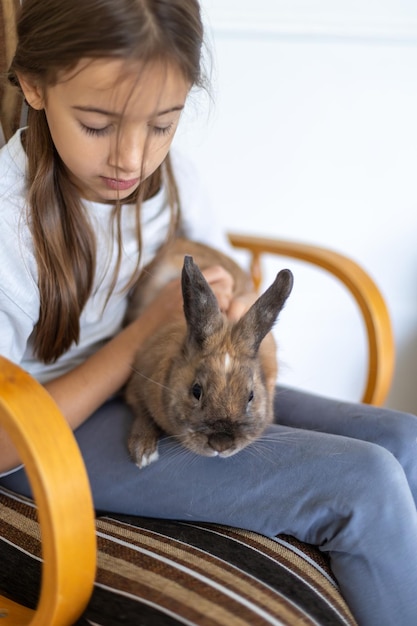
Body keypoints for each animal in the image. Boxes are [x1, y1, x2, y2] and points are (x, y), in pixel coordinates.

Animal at [124, 236, 292, 466]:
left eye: (251, 396)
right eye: (196, 391)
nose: (221, 444)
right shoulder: (136, 387)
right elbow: (143, 415)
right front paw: (143, 451)